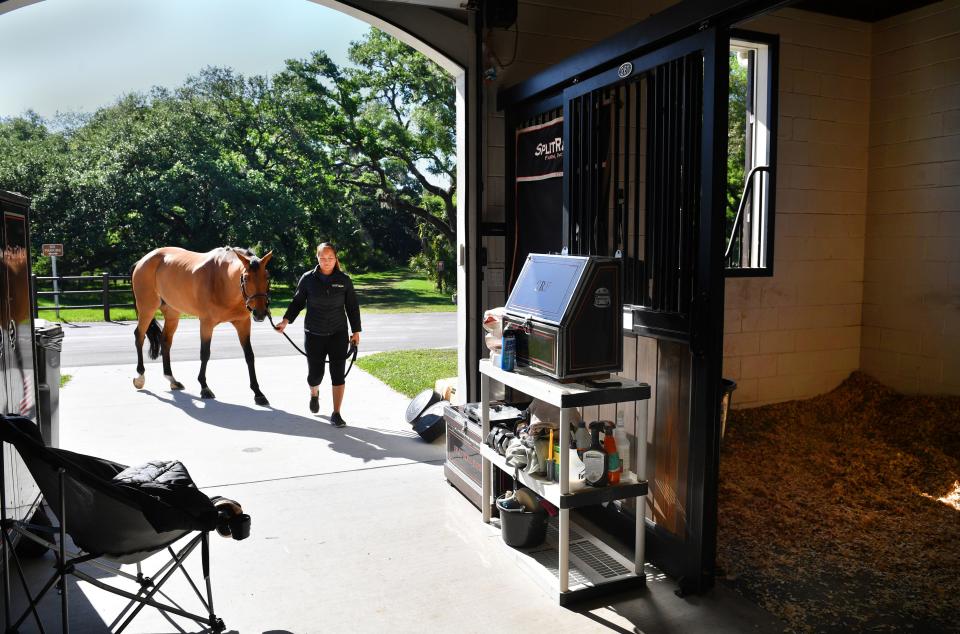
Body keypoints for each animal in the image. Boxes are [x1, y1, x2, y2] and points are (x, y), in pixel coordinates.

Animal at [129, 247, 272, 404]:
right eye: (246, 278)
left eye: (267, 277)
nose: (260, 313)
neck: (222, 281)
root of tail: (142, 261)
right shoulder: (206, 323)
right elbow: (205, 353)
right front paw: (204, 387)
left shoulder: (243, 324)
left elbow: (249, 356)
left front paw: (258, 393)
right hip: (147, 309)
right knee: (139, 336)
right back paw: (140, 377)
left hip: (172, 313)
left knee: (165, 341)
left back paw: (172, 380)